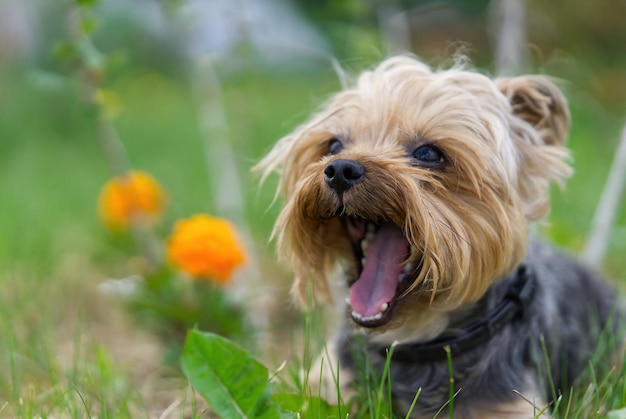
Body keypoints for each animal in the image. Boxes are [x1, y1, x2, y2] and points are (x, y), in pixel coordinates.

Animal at [255, 55, 620, 416]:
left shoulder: (507, 404)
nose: (340, 169)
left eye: (428, 154)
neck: (415, 339)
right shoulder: (330, 385)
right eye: (332, 145)